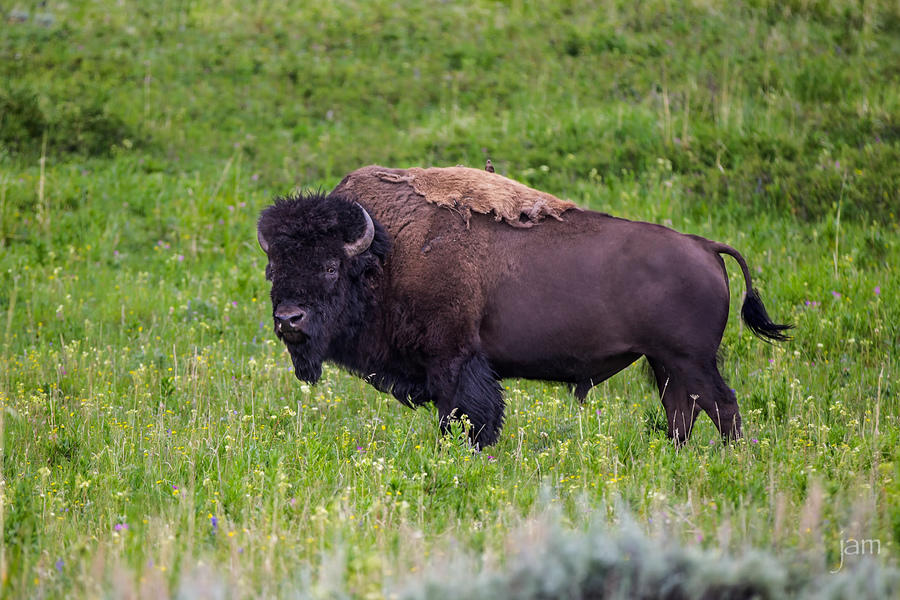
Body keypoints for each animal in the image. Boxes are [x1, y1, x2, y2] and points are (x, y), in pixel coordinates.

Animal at [256, 165, 792, 446]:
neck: (387, 253)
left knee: (722, 406)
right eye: (273, 268)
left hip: (691, 360)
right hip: (665, 363)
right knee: (684, 410)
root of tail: (704, 245)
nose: (289, 319)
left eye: (330, 266)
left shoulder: (453, 361)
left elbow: (467, 416)